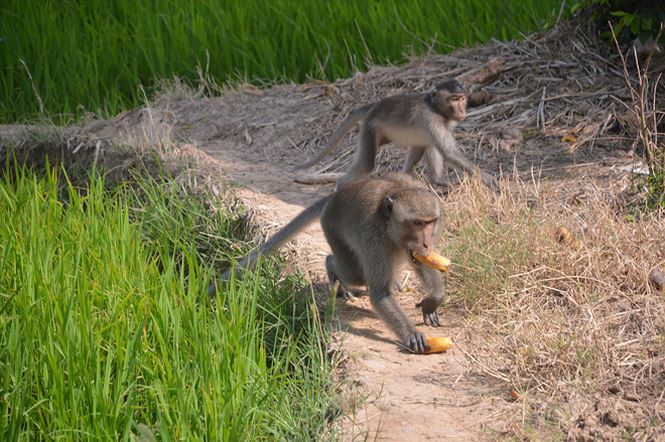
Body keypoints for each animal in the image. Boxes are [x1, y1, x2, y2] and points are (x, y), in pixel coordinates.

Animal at [209, 172, 446, 352]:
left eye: (429, 222)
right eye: (417, 223)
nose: (426, 243)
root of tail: (334, 196)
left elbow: (423, 262)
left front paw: (433, 300)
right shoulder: (374, 238)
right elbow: (380, 295)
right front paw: (412, 335)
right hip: (332, 227)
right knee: (353, 272)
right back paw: (333, 270)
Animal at [294, 79, 496, 190]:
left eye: (462, 98)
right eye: (454, 99)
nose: (461, 111)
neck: (436, 108)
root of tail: (374, 106)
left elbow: (429, 146)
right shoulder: (431, 119)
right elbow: (449, 153)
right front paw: (491, 181)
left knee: (425, 144)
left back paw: (429, 179)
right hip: (370, 129)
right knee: (366, 166)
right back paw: (341, 185)